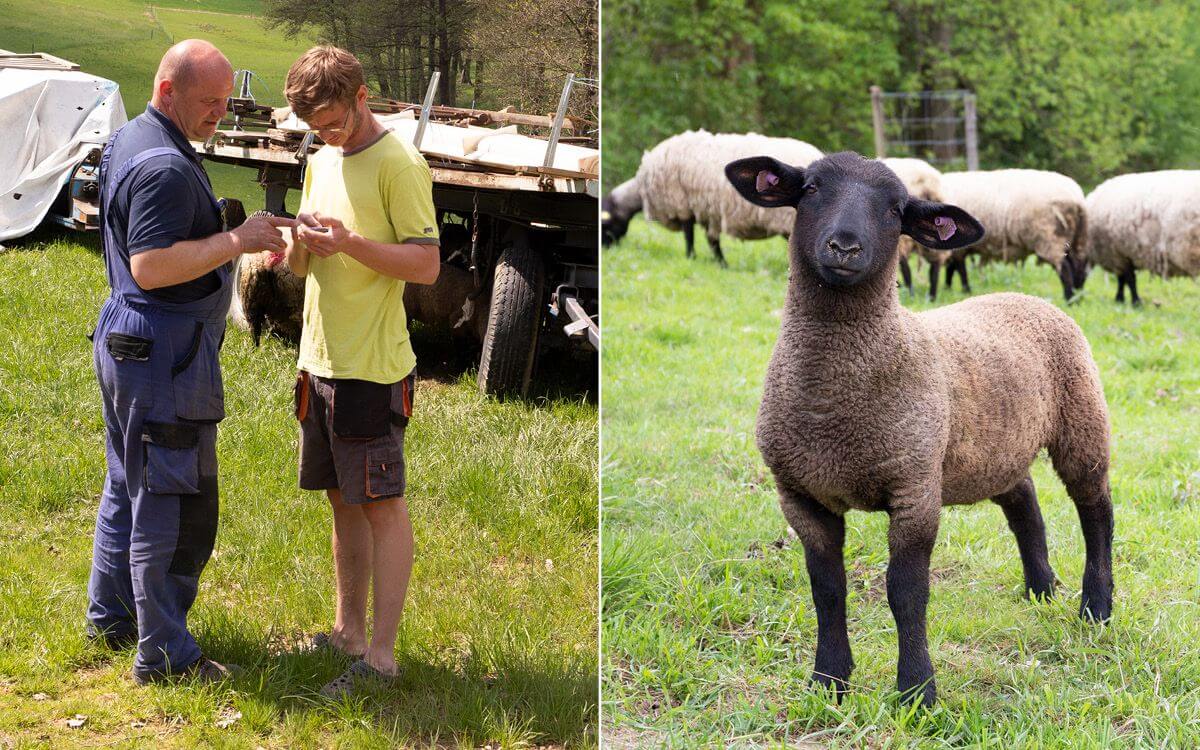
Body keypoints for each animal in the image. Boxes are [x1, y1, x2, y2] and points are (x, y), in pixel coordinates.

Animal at [614, 128, 820, 266]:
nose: (610, 248)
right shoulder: (705, 210)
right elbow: (710, 239)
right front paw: (720, 263)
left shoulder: (682, 203)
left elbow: (690, 235)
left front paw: (692, 257)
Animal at [940, 168, 1094, 300]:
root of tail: (1077, 198)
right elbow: (952, 268)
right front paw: (948, 288)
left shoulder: (958, 248)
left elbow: (959, 269)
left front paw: (965, 290)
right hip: (1074, 238)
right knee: (1078, 268)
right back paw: (1077, 297)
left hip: (1049, 237)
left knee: (1065, 269)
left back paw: (1068, 299)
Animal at [1084, 169, 1200, 304]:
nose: (1073, 298)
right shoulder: (1123, 255)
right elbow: (1124, 279)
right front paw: (1121, 299)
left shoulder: (1120, 254)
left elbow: (1129, 280)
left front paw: (1134, 301)